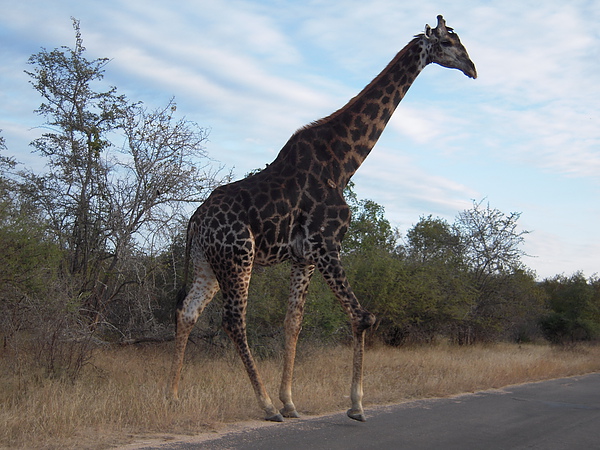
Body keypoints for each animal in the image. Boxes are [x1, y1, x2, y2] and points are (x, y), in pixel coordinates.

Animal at [171, 14, 476, 422]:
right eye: (448, 43)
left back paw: (170, 396)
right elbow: (363, 316)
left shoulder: (305, 257)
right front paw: (356, 405)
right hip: (239, 257)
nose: (473, 68)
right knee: (234, 321)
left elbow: (293, 323)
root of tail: (195, 220)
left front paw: (291, 401)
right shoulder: (327, 243)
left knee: (187, 312)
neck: (342, 162)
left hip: (208, 262)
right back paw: (265, 405)